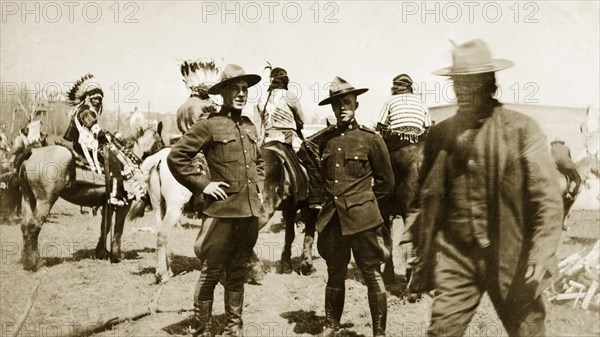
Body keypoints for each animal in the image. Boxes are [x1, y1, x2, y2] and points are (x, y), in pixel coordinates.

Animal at [17, 125, 163, 270]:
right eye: (161, 142)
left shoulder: (107, 204)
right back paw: (35, 263)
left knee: (25, 226)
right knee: (34, 226)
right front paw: (117, 255)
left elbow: (105, 227)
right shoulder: (123, 204)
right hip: (45, 201)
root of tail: (32, 152)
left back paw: (26, 260)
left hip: (28, 198)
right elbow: (118, 228)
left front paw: (102, 252)